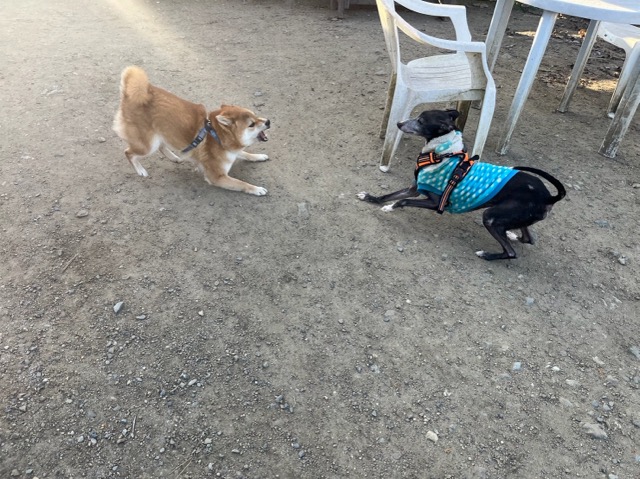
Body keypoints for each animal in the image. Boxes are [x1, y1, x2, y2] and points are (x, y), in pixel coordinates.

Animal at [113, 66, 271, 195]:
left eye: (256, 116)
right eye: (251, 124)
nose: (268, 121)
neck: (218, 136)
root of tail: (129, 95)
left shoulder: (233, 151)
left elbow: (246, 153)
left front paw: (259, 156)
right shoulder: (217, 177)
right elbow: (241, 183)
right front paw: (256, 189)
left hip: (160, 136)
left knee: (162, 146)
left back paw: (174, 157)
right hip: (148, 145)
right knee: (129, 153)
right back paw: (141, 170)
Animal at [357, 109, 566, 260]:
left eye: (421, 121)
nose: (399, 123)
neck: (440, 154)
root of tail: (549, 197)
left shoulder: (436, 203)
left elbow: (403, 201)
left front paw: (391, 208)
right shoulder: (414, 189)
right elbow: (390, 195)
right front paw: (372, 199)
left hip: (490, 217)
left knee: (511, 252)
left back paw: (487, 254)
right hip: (517, 215)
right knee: (528, 238)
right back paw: (512, 234)